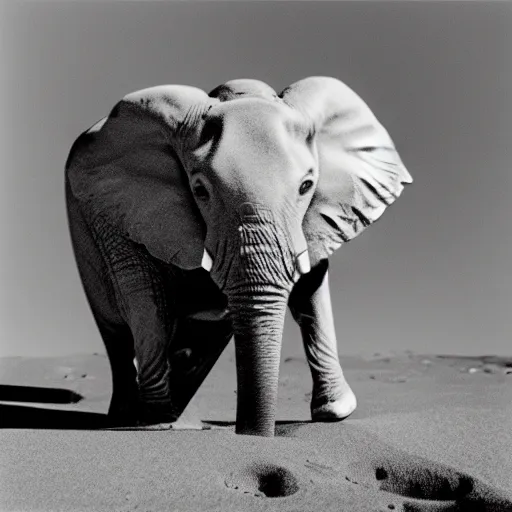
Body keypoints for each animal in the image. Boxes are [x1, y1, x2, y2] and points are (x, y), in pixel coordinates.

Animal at [66, 76, 412, 436]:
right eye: (199, 190)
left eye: (306, 186)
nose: (250, 434)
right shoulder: (119, 212)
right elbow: (147, 299)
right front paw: (156, 421)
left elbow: (311, 286)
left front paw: (334, 412)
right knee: (116, 332)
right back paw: (137, 417)